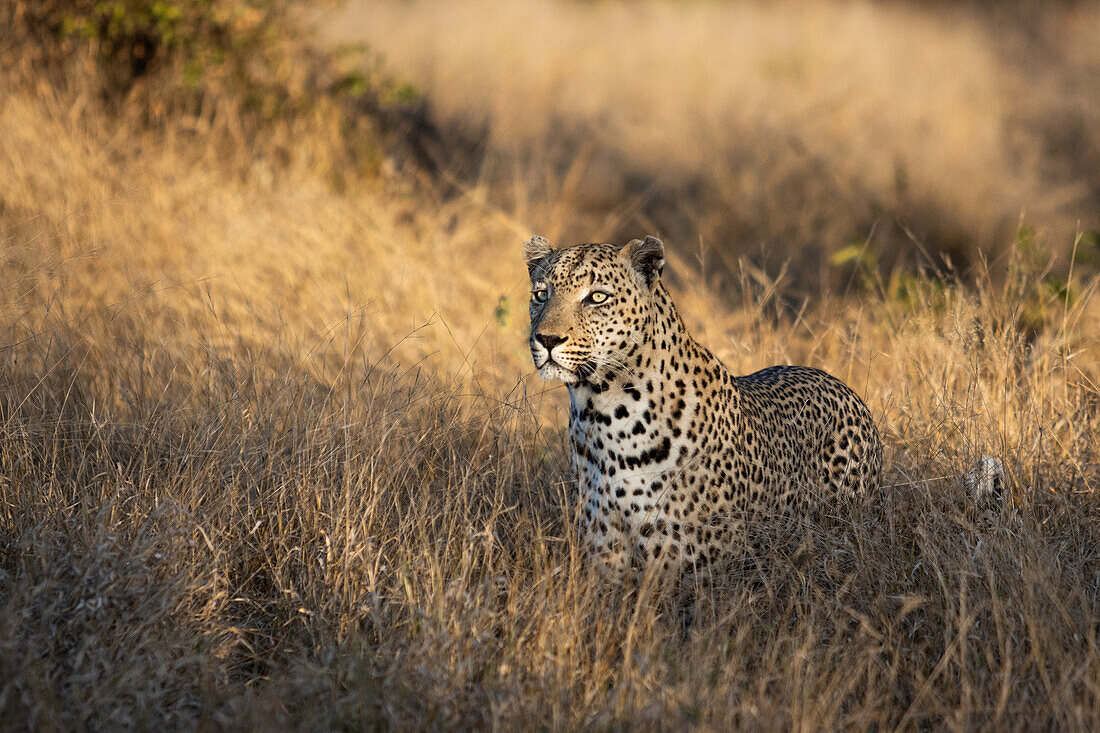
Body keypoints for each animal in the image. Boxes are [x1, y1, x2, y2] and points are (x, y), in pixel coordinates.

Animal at [521, 234, 884, 581]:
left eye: (597, 297)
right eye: (541, 294)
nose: (547, 339)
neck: (601, 411)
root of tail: (845, 389)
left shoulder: (693, 566)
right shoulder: (605, 551)